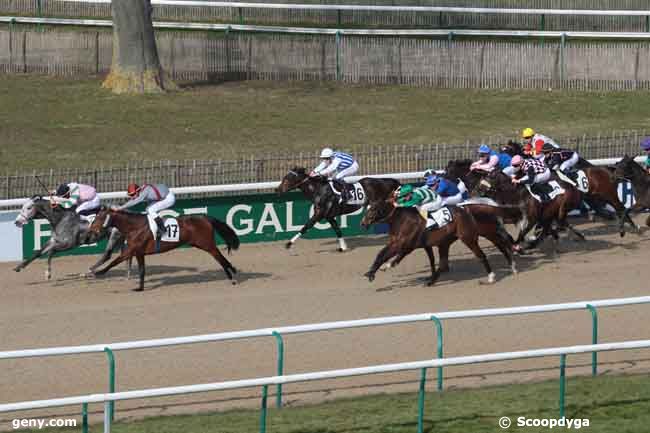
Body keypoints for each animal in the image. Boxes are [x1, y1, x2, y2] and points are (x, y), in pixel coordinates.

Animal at [87, 208, 237, 290]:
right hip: (203, 244)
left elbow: (114, 262)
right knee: (220, 258)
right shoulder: (139, 252)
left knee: (220, 258)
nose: (90, 231)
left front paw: (98, 272)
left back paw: (233, 277)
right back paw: (233, 274)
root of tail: (205, 218)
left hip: (207, 244)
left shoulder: (130, 251)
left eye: (99, 217)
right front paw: (140, 288)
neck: (135, 227)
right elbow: (142, 270)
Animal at [360, 200, 496, 286]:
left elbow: (388, 256)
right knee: (443, 264)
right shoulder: (400, 243)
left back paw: (491, 277)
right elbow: (381, 254)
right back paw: (431, 281)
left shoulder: (404, 244)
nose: (363, 223)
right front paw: (371, 272)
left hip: (468, 238)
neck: (400, 219)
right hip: (444, 243)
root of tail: (466, 211)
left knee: (481, 255)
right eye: (367, 209)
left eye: (372, 210)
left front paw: (380, 269)